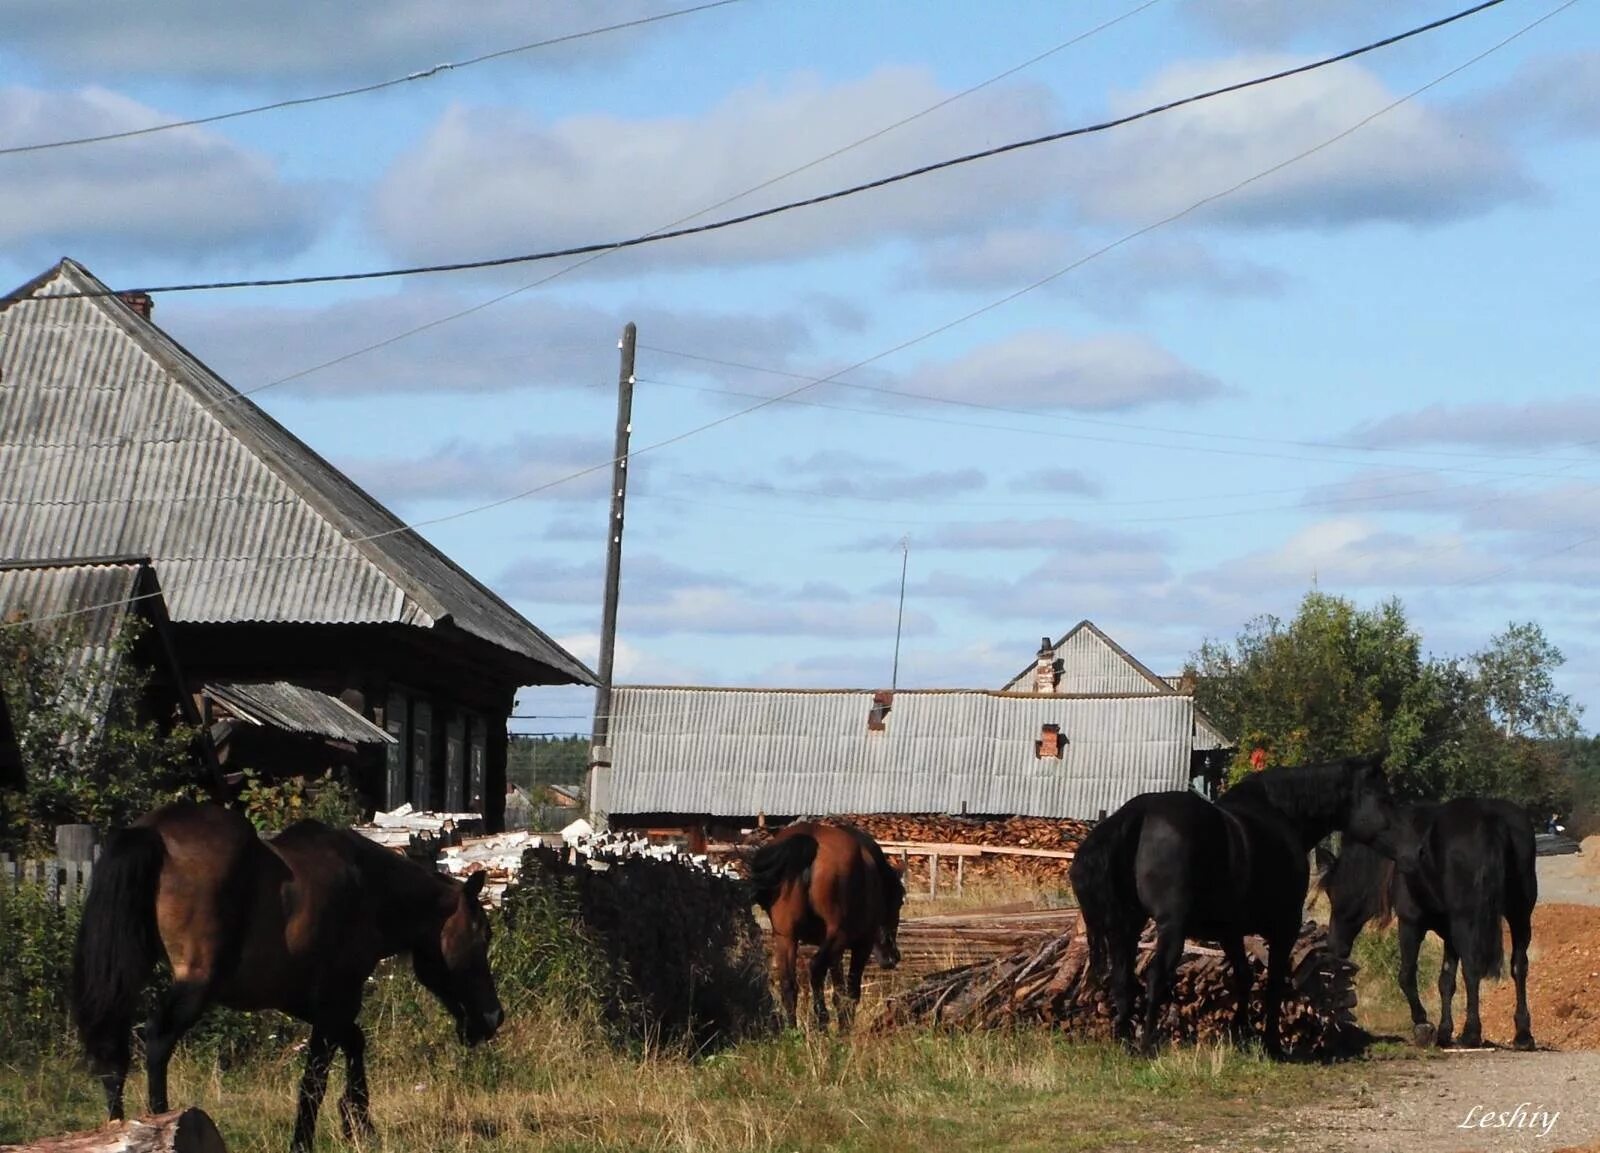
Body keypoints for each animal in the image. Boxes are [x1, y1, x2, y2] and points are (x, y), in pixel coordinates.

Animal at [70, 799, 499, 1151]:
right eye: (482, 935)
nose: (494, 1017)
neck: (368, 887)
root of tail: (154, 832)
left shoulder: (305, 1002)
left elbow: (354, 1045)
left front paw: (358, 1123)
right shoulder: (338, 1000)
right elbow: (315, 1080)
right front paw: (310, 1138)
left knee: (113, 1051)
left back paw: (116, 1130)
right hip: (195, 984)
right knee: (157, 1040)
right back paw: (162, 1123)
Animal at [745, 818, 902, 1023]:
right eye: (900, 901)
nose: (893, 957)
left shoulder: (834, 950)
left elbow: (839, 991)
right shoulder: (862, 945)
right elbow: (851, 992)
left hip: (786, 937)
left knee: (788, 984)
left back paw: (793, 1025)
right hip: (837, 934)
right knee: (815, 968)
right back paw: (822, 1019)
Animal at [1068, 754, 1408, 1055]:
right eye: (1384, 797)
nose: (1408, 847)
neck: (1282, 814)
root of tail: (1140, 814)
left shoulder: (1230, 933)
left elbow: (1243, 977)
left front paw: (1242, 1035)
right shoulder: (1284, 928)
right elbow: (1274, 983)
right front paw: (1271, 1044)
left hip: (1127, 925)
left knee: (1122, 979)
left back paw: (1125, 1042)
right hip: (1170, 928)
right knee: (1154, 977)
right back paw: (1145, 1046)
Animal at [1312, 796, 1536, 1049]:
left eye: (1332, 892)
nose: (1334, 946)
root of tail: (1490, 819)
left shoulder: (1411, 923)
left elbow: (1407, 975)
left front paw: (1422, 1023)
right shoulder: (1449, 933)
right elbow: (1446, 980)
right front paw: (1444, 1031)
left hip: (1467, 920)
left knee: (1472, 968)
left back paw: (1471, 1033)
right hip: (1519, 916)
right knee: (1519, 966)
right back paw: (1523, 1035)